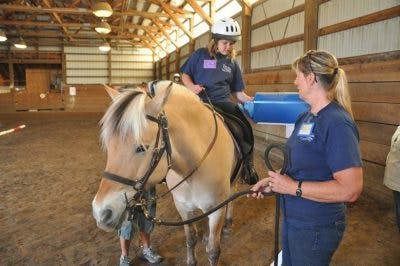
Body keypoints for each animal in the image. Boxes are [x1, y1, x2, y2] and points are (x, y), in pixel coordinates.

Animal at [91, 80, 241, 264]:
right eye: (109, 147)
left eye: (141, 148)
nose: (101, 214)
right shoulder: (183, 207)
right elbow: (191, 239)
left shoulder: (217, 210)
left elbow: (213, 251)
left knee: (232, 195)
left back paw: (227, 225)